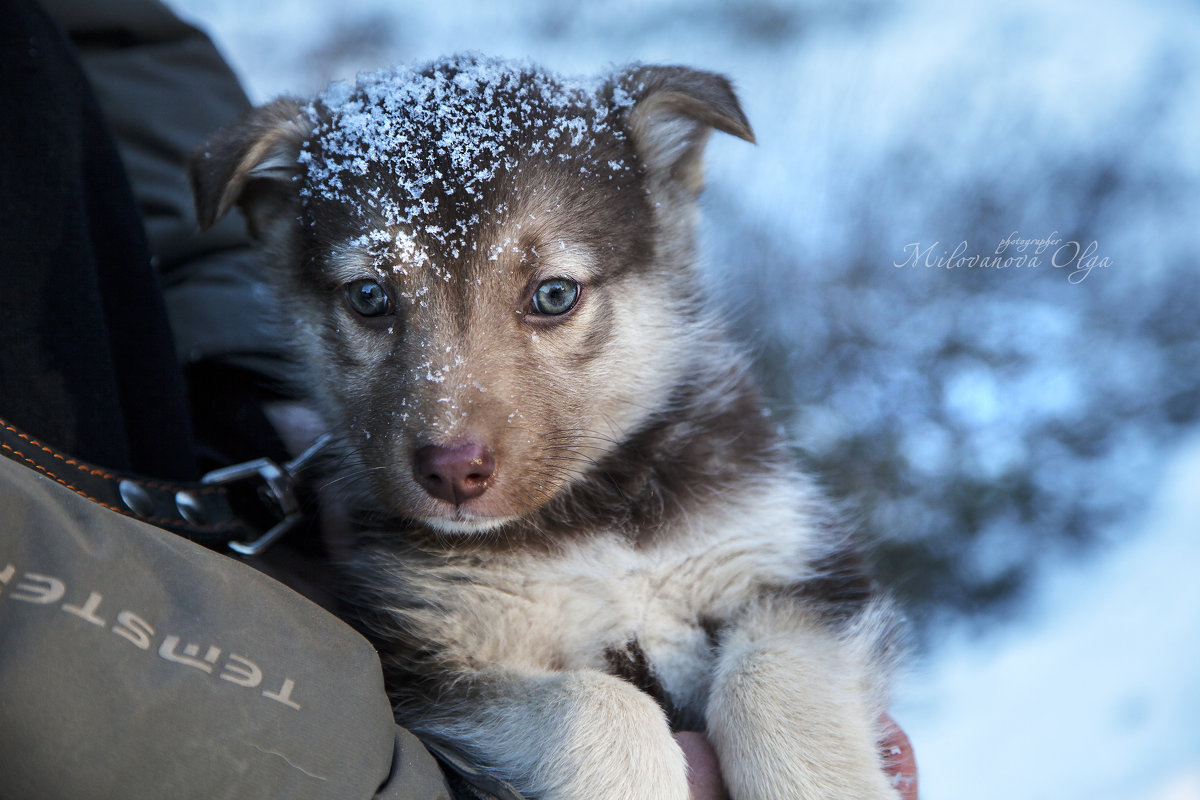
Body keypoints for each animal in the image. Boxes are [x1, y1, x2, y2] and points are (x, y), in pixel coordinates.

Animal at [189, 53, 902, 796]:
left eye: (554, 294)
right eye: (368, 297)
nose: (452, 471)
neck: (597, 521)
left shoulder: (802, 576)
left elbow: (773, 678)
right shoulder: (428, 666)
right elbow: (603, 705)